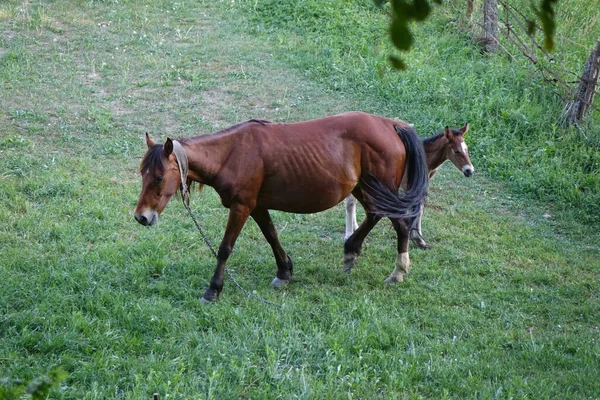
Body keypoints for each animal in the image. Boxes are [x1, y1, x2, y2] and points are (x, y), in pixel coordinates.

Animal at [134, 111, 428, 302]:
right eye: (142, 173)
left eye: (158, 177)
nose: (141, 217)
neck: (232, 153)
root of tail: (391, 125)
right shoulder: (256, 206)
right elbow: (272, 235)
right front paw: (284, 272)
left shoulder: (241, 207)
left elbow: (225, 248)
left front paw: (213, 289)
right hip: (363, 188)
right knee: (375, 215)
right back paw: (351, 251)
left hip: (379, 189)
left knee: (399, 222)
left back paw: (398, 271)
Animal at [344, 122, 476, 247]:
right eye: (456, 151)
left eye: (467, 149)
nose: (470, 171)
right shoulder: (408, 186)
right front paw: (416, 238)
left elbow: (419, 209)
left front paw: (418, 239)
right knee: (350, 202)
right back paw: (348, 234)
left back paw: (355, 227)